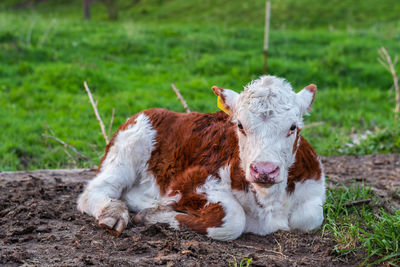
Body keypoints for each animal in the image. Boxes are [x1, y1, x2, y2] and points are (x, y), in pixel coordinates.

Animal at [77, 76, 324, 242]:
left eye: (293, 127)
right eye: (240, 125)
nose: (264, 170)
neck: (268, 202)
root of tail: (160, 111)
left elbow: (310, 217)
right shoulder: (189, 184)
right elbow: (233, 219)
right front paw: (153, 215)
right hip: (127, 147)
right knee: (95, 190)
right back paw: (114, 213)